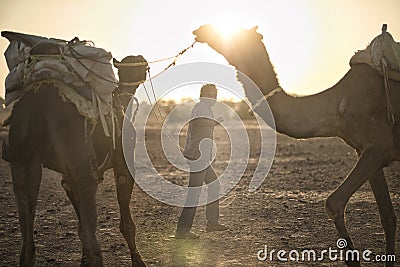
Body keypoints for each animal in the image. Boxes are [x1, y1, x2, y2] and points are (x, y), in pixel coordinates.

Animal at [1, 34, 148, 267]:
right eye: (138, 64)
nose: (144, 66)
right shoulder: (123, 165)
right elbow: (125, 224)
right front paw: (138, 260)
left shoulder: (66, 178)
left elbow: (80, 226)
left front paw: (83, 260)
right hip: (81, 163)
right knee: (91, 237)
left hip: (22, 159)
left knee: (27, 246)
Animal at [192, 24, 398, 266]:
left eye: (239, 34)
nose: (201, 29)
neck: (337, 104)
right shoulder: (366, 151)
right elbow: (388, 216)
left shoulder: (378, 148)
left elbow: (334, 203)